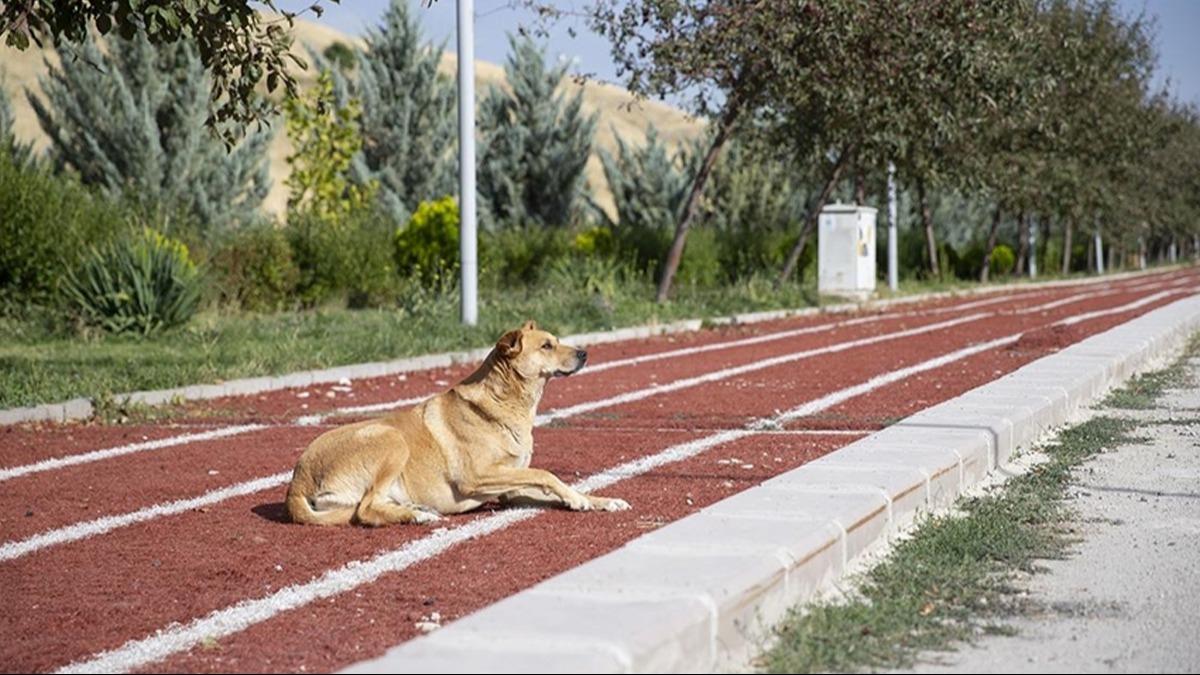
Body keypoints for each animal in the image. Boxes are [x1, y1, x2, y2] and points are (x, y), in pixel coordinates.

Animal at [285, 319, 633, 526]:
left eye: (557, 340)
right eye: (547, 345)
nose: (585, 353)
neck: (507, 401)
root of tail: (296, 480)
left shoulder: (510, 486)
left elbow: (550, 483)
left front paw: (597, 501)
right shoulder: (476, 476)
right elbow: (547, 474)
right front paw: (578, 499)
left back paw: (416, 509)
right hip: (391, 439)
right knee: (365, 510)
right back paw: (416, 516)